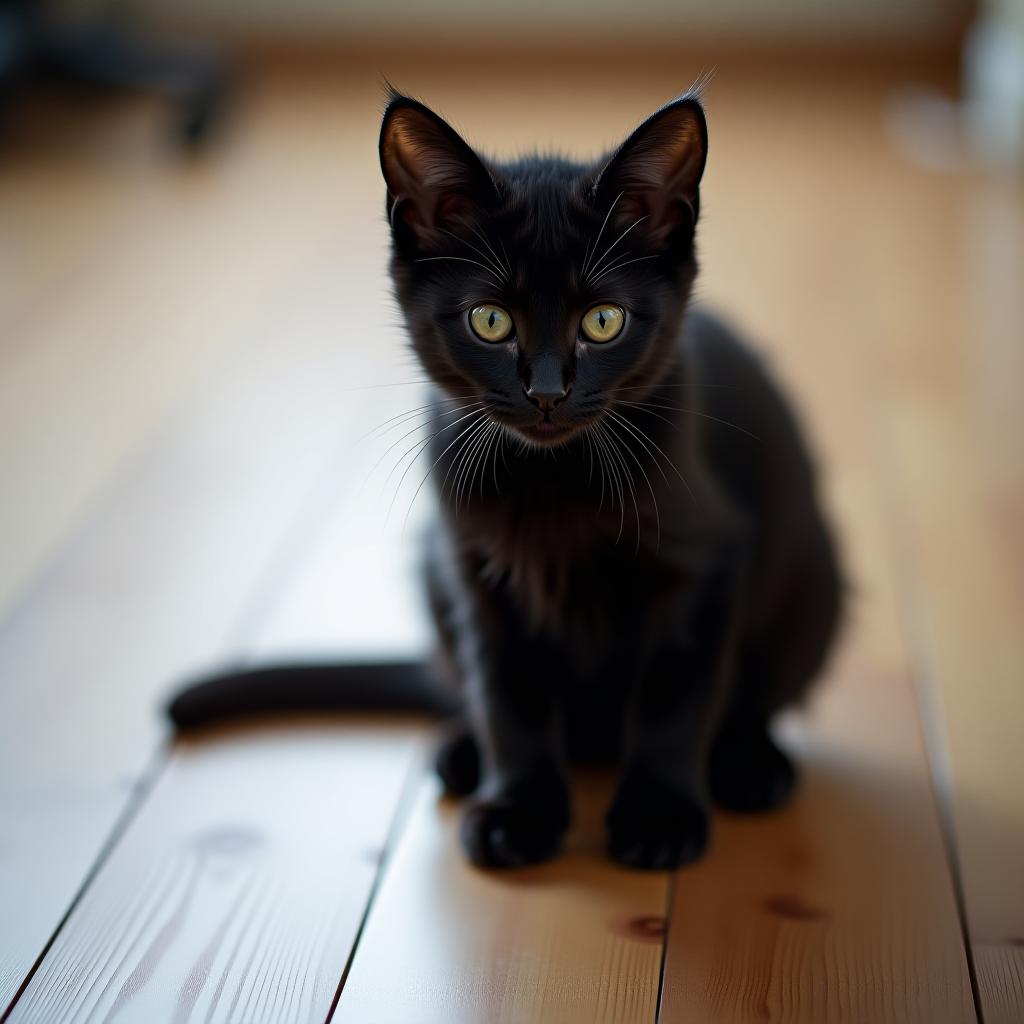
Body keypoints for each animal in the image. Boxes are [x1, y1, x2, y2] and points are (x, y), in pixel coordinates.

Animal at [169, 90, 839, 872]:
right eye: (489, 320)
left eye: (603, 321)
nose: (546, 391)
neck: (551, 480)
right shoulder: (477, 573)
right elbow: (508, 696)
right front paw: (518, 810)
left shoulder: (704, 563)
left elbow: (674, 699)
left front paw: (659, 815)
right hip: (431, 571)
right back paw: (462, 751)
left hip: (814, 585)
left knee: (755, 696)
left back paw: (750, 762)